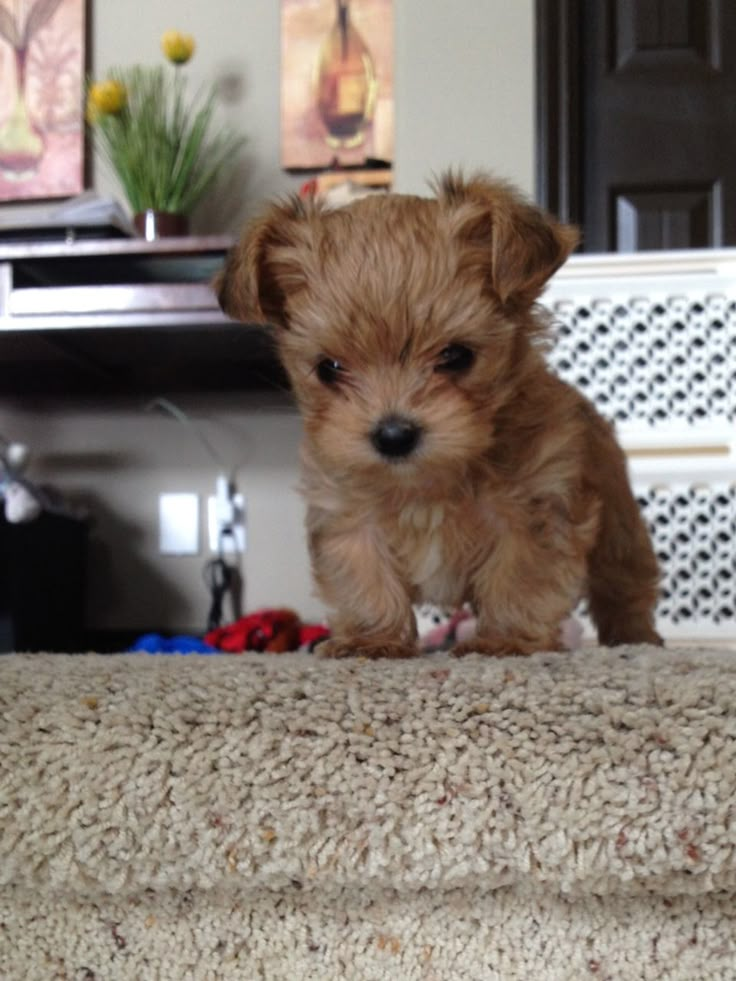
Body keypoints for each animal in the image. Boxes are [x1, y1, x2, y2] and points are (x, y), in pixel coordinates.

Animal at [216, 174, 664, 660]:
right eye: (328, 368)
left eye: (456, 356)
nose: (393, 435)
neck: (428, 481)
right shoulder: (347, 513)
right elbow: (364, 576)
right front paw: (371, 639)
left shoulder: (535, 510)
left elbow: (522, 574)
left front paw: (505, 639)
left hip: (620, 531)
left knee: (623, 586)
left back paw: (635, 638)